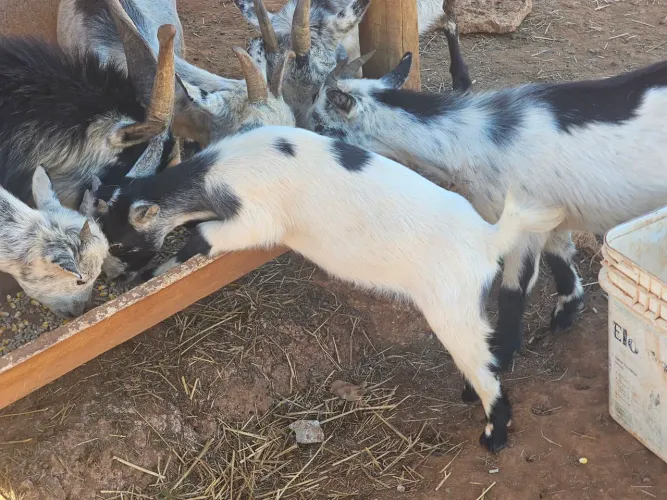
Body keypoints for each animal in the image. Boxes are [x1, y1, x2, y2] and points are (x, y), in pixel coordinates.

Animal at [96, 125, 564, 452]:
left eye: (119, 243)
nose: (114, 278)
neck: (215, 173)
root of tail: (489, 237)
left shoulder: (257, 219)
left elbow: (205, 237)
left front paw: (155, 274)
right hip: (468, 302)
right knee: (486, 351)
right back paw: (468, 394)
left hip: (449, 307)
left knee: (482, 364)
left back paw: (493, 437)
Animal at [306, 52, 667, 400]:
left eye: (320, 123)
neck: (474, 139)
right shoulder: (549, 211)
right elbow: (560, 254)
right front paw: (568, 310)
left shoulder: (522, 221)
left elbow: (513, 291)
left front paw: (497, 361)